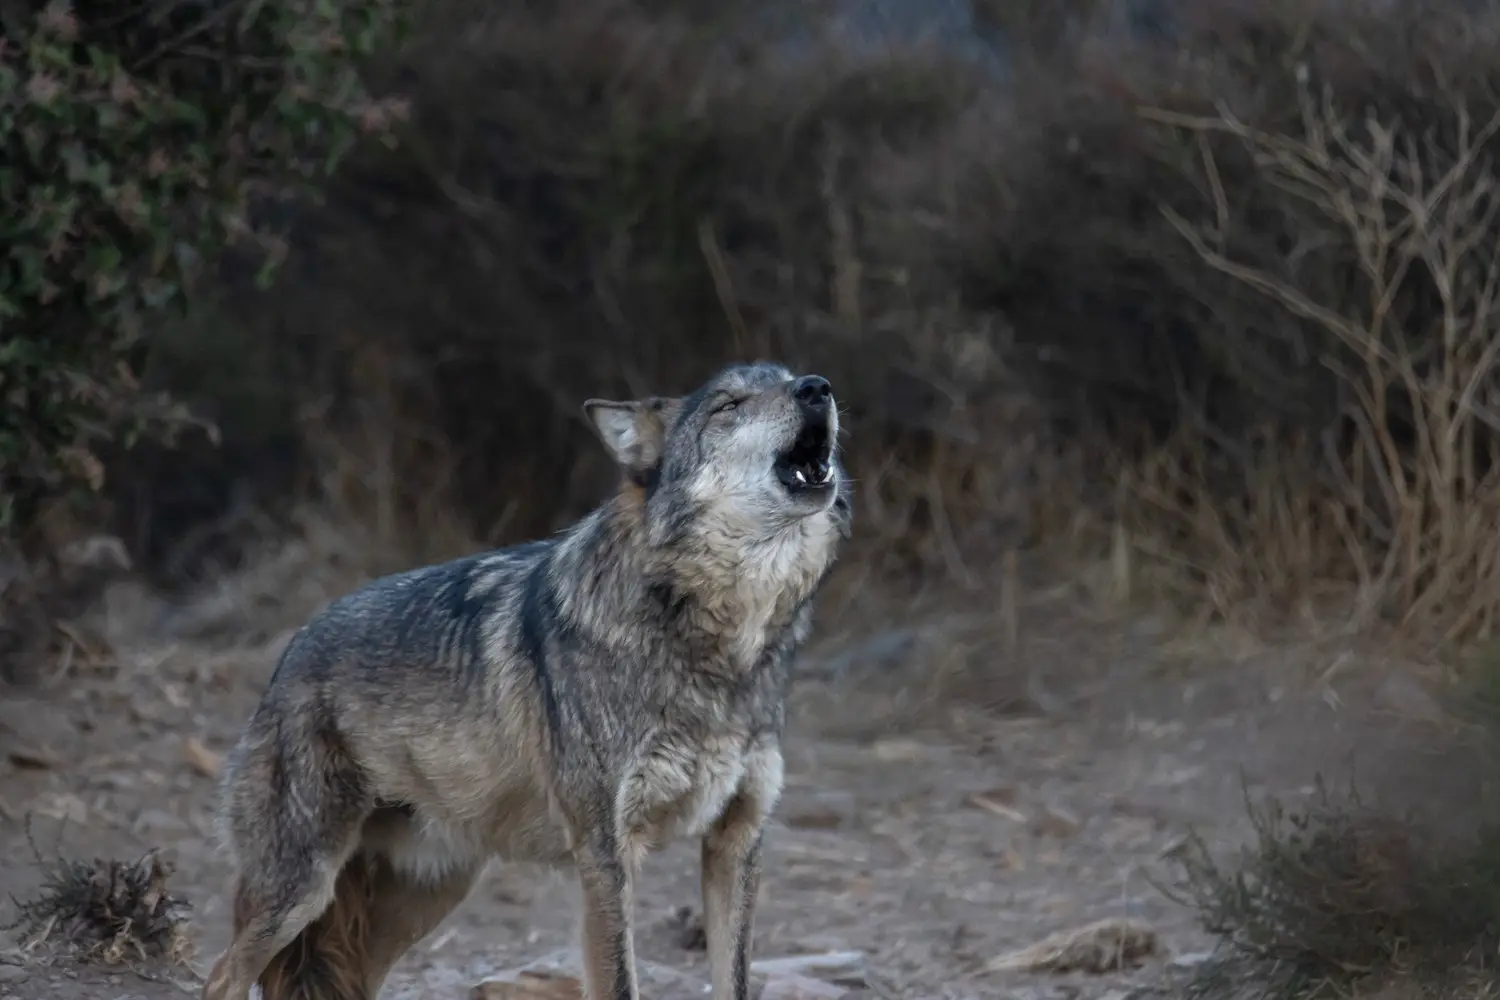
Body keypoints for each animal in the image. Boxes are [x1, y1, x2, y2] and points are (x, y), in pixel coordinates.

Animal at [201, 361, 853, 1000]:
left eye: (789, 376)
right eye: (728, 405)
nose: (817, 388)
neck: (720, 639)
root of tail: (292, 650)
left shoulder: (735, 843)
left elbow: (735, 979)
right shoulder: (605, 854)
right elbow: (620, 981)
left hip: (422, 898)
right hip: (302, 890)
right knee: (221, 975)